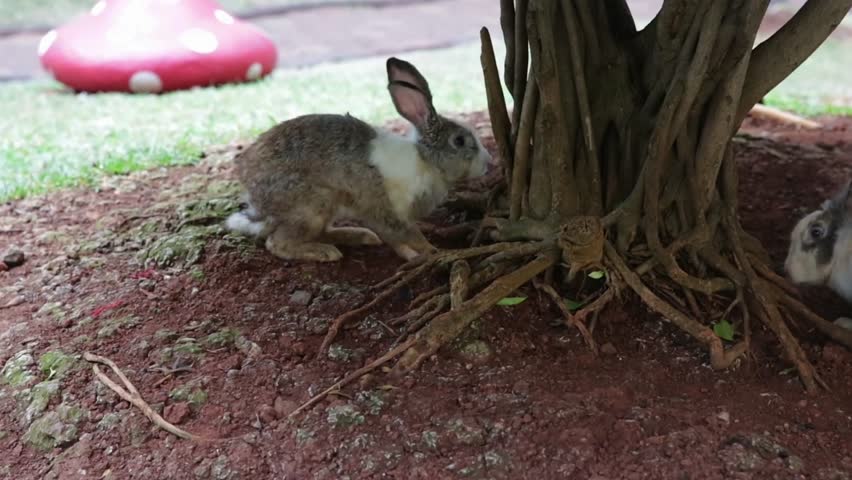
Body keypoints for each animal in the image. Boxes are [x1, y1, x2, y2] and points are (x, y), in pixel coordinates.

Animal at [225, 57, 491, 262]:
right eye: (459, 141)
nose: (488, 164)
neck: (425, 160)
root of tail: (254, 193)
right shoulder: (388, 211)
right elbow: (407, 234)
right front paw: (430, 251)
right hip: (312, 204)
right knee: (278, 242)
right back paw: (325, 252)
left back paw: (360, 236)